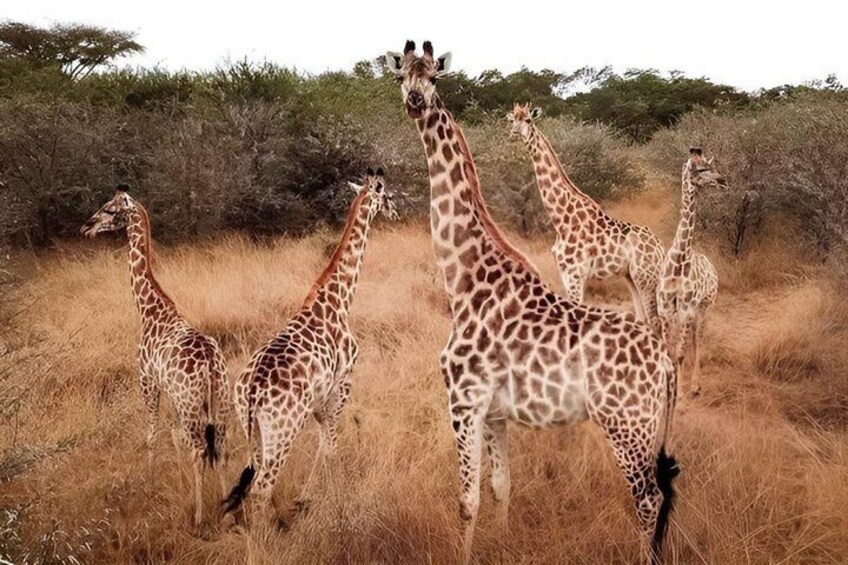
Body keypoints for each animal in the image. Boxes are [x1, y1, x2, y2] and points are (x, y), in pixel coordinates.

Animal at [81, 186, 230, 526]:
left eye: (110, 209)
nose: (86, 227)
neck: (149, 309)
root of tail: (211, 365)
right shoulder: (169, 392)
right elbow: (173, 437)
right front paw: (182, 483)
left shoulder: (147, 381)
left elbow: (151, 435)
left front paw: (149, 482)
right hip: (217, 401)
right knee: (219, 447)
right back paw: (229, 510)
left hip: (190, 403)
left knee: (199, 448)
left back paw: (199, 516)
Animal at [222, 169, 398, 517]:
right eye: (387, 195)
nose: (395, 211)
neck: (339, 299)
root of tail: (251, 393)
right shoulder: (342, 384)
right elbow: (330, 446)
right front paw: (335, 498)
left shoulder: (319, 399)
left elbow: (323, 444)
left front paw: (309, 496)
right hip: (282, 430)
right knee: (262, 488)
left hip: (252, 430)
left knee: (251, 480)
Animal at [508, 103, 665, 332]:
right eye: (512, 120)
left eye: (528, 120)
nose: (513, 134)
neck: (560, 218)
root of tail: (661, 248)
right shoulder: (564, 272)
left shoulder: (575, 273)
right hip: (631, 277)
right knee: (642, 317)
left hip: (646, 277)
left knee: (655, 321)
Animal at [656, 147, 722, 396]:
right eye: (700, 168)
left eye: (711, 166)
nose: (723, 181)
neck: (678, 263)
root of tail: (712, 266)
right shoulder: (666, 308)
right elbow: (669, 350)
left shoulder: (685, 309)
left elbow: (680, 353)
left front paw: (681, 393)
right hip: (692, 311)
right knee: (693, 338)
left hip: (705, 305)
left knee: (698, 338)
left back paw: (695, 385)